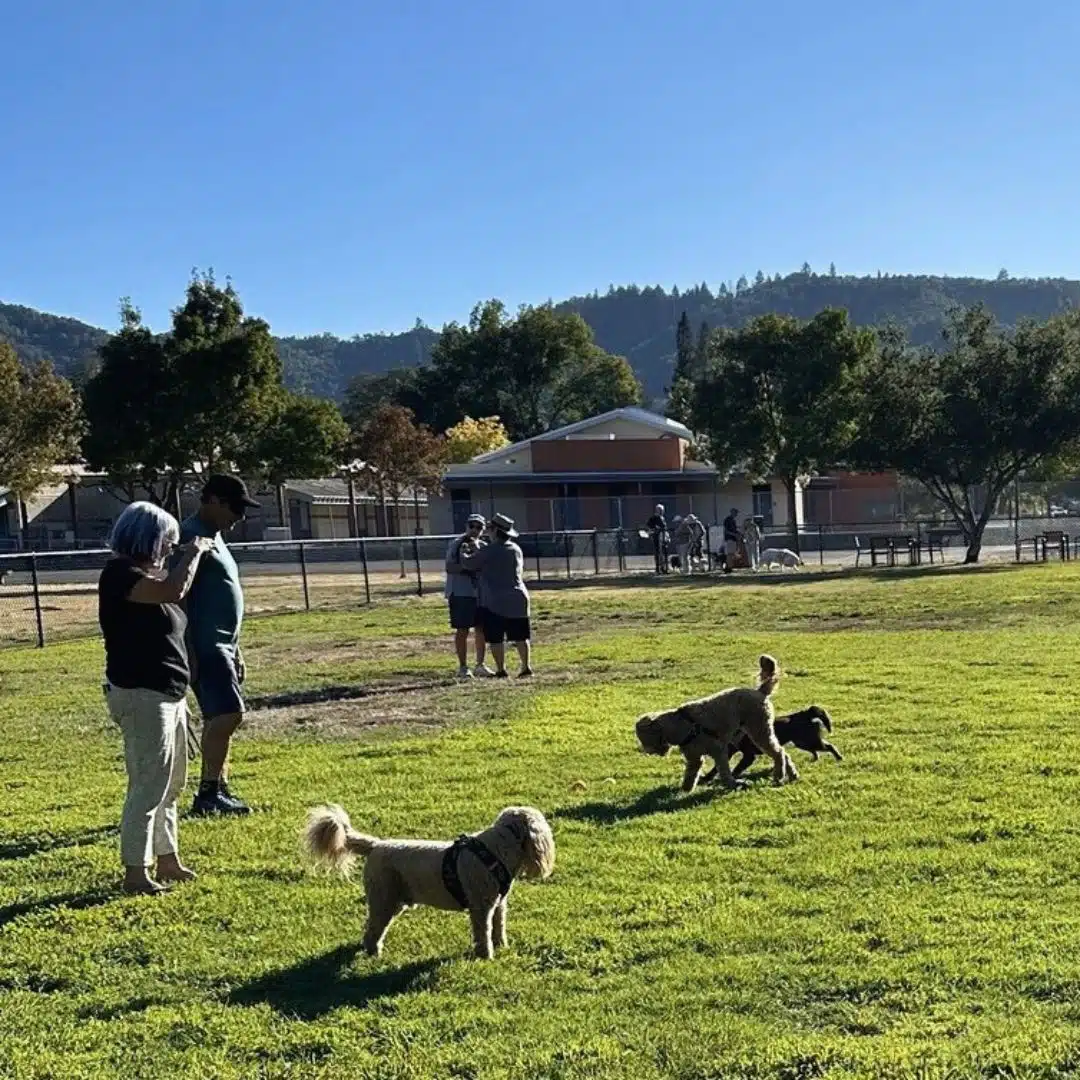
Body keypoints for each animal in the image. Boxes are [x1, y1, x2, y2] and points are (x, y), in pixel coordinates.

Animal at [304, 803, 557, 963]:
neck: (495, 851)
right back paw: (374, 953)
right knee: (372, 930)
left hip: (392, 901)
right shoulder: (480, 907)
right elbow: (483, 934)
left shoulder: (498, 904)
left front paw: (502, 945)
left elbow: (498, 927)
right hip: (384, 898)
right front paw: (486, 956)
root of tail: (376, 846)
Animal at [630, 652, 794, 790]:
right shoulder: (694, 758)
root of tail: (760, 692)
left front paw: (733, 784)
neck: (683, 725)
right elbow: (690, 775)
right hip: (756, 733)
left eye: (644, 739)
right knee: (782, 752)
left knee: (778, 752)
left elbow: (724, 771)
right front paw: (685, 789)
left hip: (759, 730)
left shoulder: (719, 750)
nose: (647, 752)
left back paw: (779, 776)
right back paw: (792, 775)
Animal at [699, 704, 842, 781]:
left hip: (810, 741)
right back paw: (815, 758)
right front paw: (706, 779)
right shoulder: (729, 752)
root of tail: (804, 714)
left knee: (829, 746)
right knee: (817, 750)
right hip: (803, 742)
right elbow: (715, 768)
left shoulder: (749, 756)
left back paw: (839, 758)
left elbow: (736, 769)